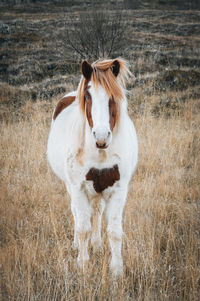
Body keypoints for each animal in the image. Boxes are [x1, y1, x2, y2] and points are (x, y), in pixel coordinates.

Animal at [47, 57, 138, 276]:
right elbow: (82, 228)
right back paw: (78, 245)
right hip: (71, 187)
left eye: (113, 96)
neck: (100, 153)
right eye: (88, 96)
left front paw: (117, 270)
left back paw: (96, 245)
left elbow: (114, 231)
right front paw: (83, 263)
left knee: (96, 213)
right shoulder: (78, 188)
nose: (101, 137)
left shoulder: (119, 189)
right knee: (77, 214)